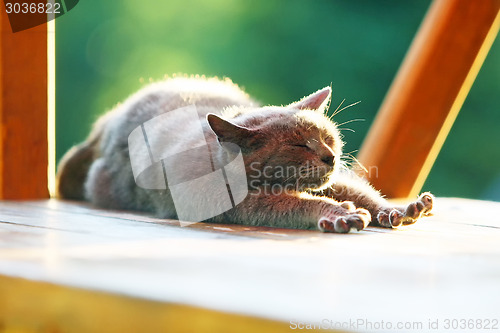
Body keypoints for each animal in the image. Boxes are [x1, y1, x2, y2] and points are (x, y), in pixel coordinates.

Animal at [56, 75, 434, 232]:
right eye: (299, 144)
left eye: (329, 138)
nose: (330, 157)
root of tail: (107, 122)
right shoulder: (236, 205)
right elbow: (300, 204)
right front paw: (340, 214)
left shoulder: (332, 180)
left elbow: (360, 192)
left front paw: (397, 209)